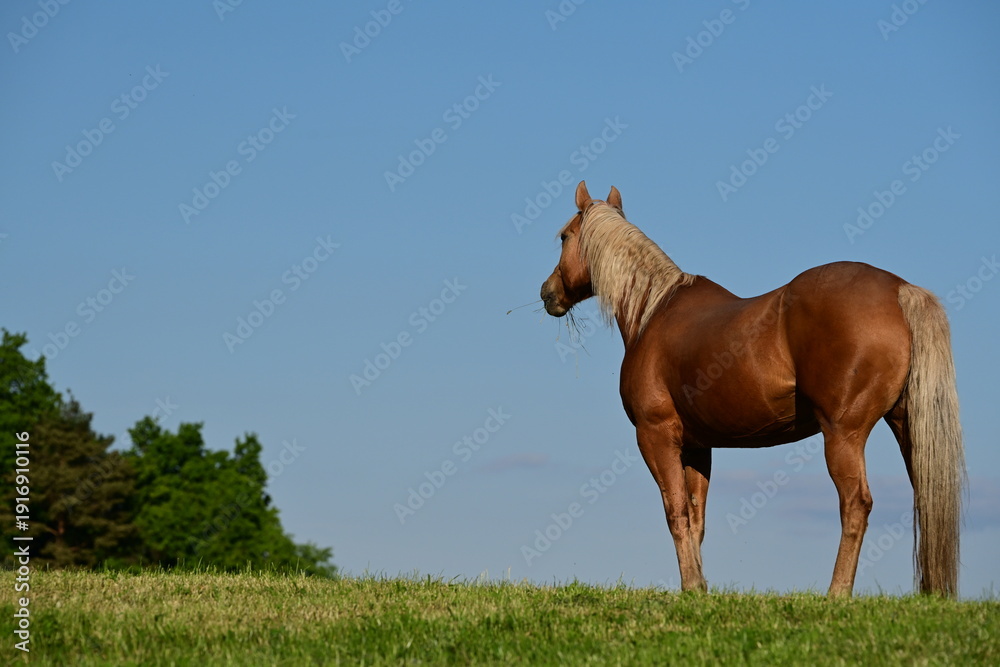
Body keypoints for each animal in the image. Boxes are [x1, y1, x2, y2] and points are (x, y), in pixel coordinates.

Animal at [539, 181, 965, 597]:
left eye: (564, 236)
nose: (548, 293)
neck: (653, 312)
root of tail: (900, 289)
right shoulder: (697, 446)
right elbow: (697, 519)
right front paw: (700, 588)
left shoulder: (655, 436)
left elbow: (676, 513)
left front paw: (691, 586)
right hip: (906, 426)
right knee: (928, 495)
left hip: (844, 434)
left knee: (856, 504)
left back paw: (837, 593)